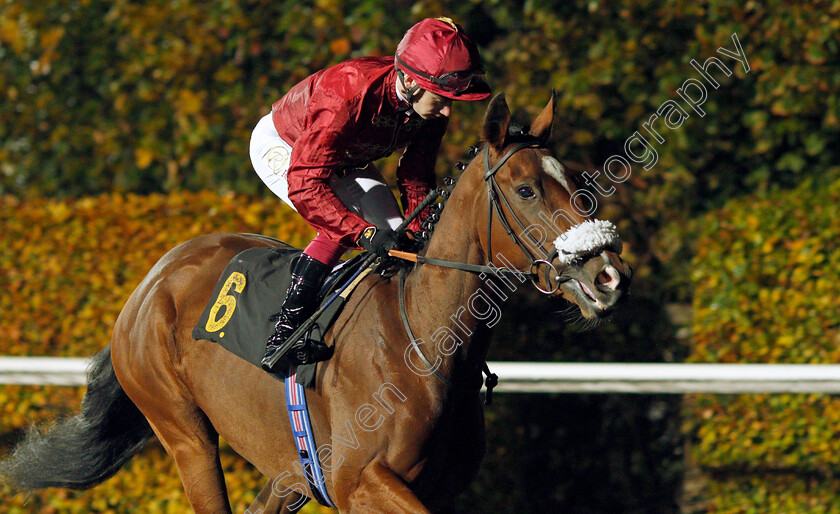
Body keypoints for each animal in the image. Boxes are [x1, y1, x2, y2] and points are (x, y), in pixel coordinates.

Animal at [0, 93, 632, 512]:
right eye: (525, 190)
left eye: (571, 178)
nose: (607, 275)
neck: (423, 340)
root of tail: (153, 279)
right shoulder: (359, 481)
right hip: (183, 431)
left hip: (286, 467)